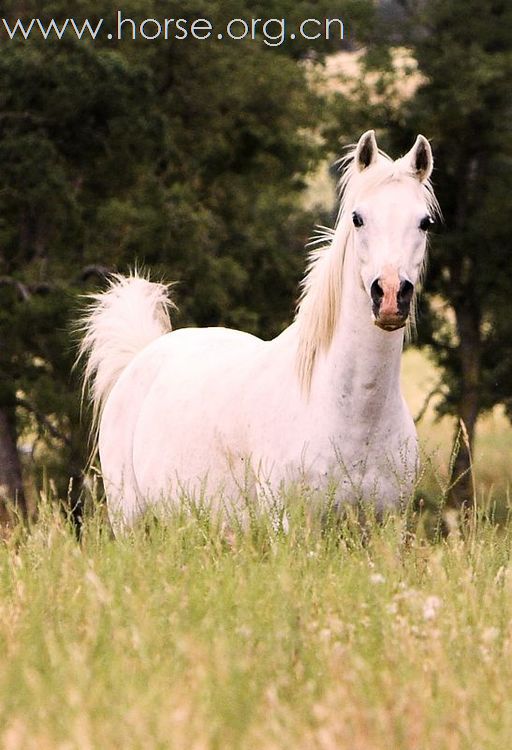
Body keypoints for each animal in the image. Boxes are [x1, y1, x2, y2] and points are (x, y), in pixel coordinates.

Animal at [78, 131, 438, 528]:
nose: (389, 295)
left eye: (424, 222)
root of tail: (141, 356)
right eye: (358, 218)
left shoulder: (388, 525)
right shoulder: (289, 523)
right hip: (129, 519)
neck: (356, 413)